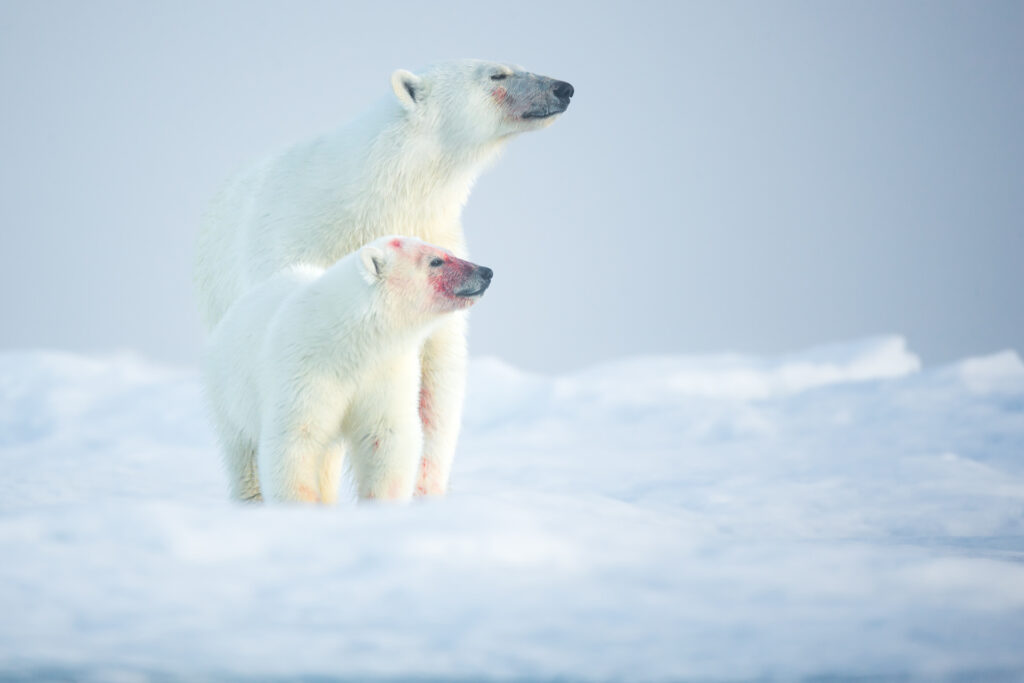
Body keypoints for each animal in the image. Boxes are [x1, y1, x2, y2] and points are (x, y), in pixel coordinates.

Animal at [193, 60, 577, 497]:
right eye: (497, 74)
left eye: (516, 65)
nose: (564, 88)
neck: (376, 196)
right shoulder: (297, 246)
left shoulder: (439, 237)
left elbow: (435, 378)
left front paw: (424, 489)